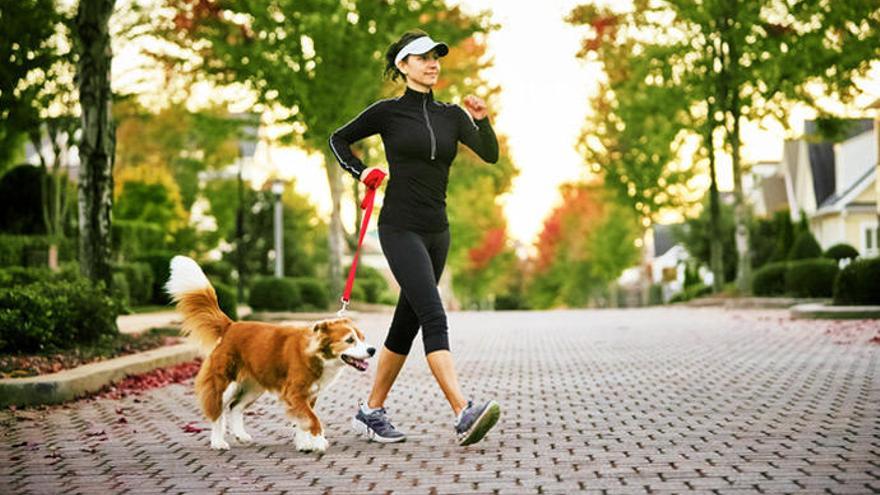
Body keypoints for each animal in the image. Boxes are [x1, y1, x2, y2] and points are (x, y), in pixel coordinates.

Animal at [165, 256, 374, 454]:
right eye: (350, 340)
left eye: (363, 338)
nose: (372, 350)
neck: (318, 355)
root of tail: (231, 326)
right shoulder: (295, 393)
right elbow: (312, 419)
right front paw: (318, 441)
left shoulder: (309, 395)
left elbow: (303, 421)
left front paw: (305, 444)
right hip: (225, 383)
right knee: (218, 411)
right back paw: (218, 442)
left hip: (254, 386)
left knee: (235, 407)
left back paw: (241, 435)